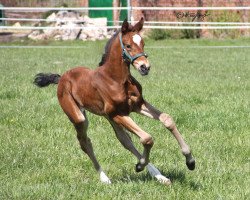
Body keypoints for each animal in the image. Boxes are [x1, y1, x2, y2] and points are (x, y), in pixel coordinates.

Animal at [33, 18, 195, 185]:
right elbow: (147, 138)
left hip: (108, 117)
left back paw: (160, 176)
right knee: (85, 142)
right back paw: (105, 178)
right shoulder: (118, 113)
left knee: (125, 140)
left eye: (143, 43)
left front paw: (190, 161)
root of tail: (61, 78)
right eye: (128, 45)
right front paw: (140, 165)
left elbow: (167, 119)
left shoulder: (137, 105)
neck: (116, 79)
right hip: (80, 117)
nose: (145, 67)